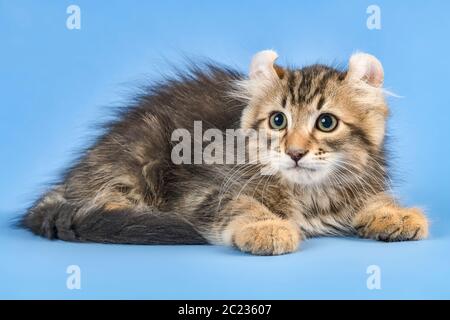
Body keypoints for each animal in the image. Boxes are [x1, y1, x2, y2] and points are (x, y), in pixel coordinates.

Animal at [21, 50, 428, 255]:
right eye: (278, 120)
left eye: (326, 123)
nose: (295, 152)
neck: (309, 194)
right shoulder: (203, 190)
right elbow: (240, 203)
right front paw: (267, 227)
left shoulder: (360, 182)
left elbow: (374, 198)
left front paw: (397, 214)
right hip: (137, 158)